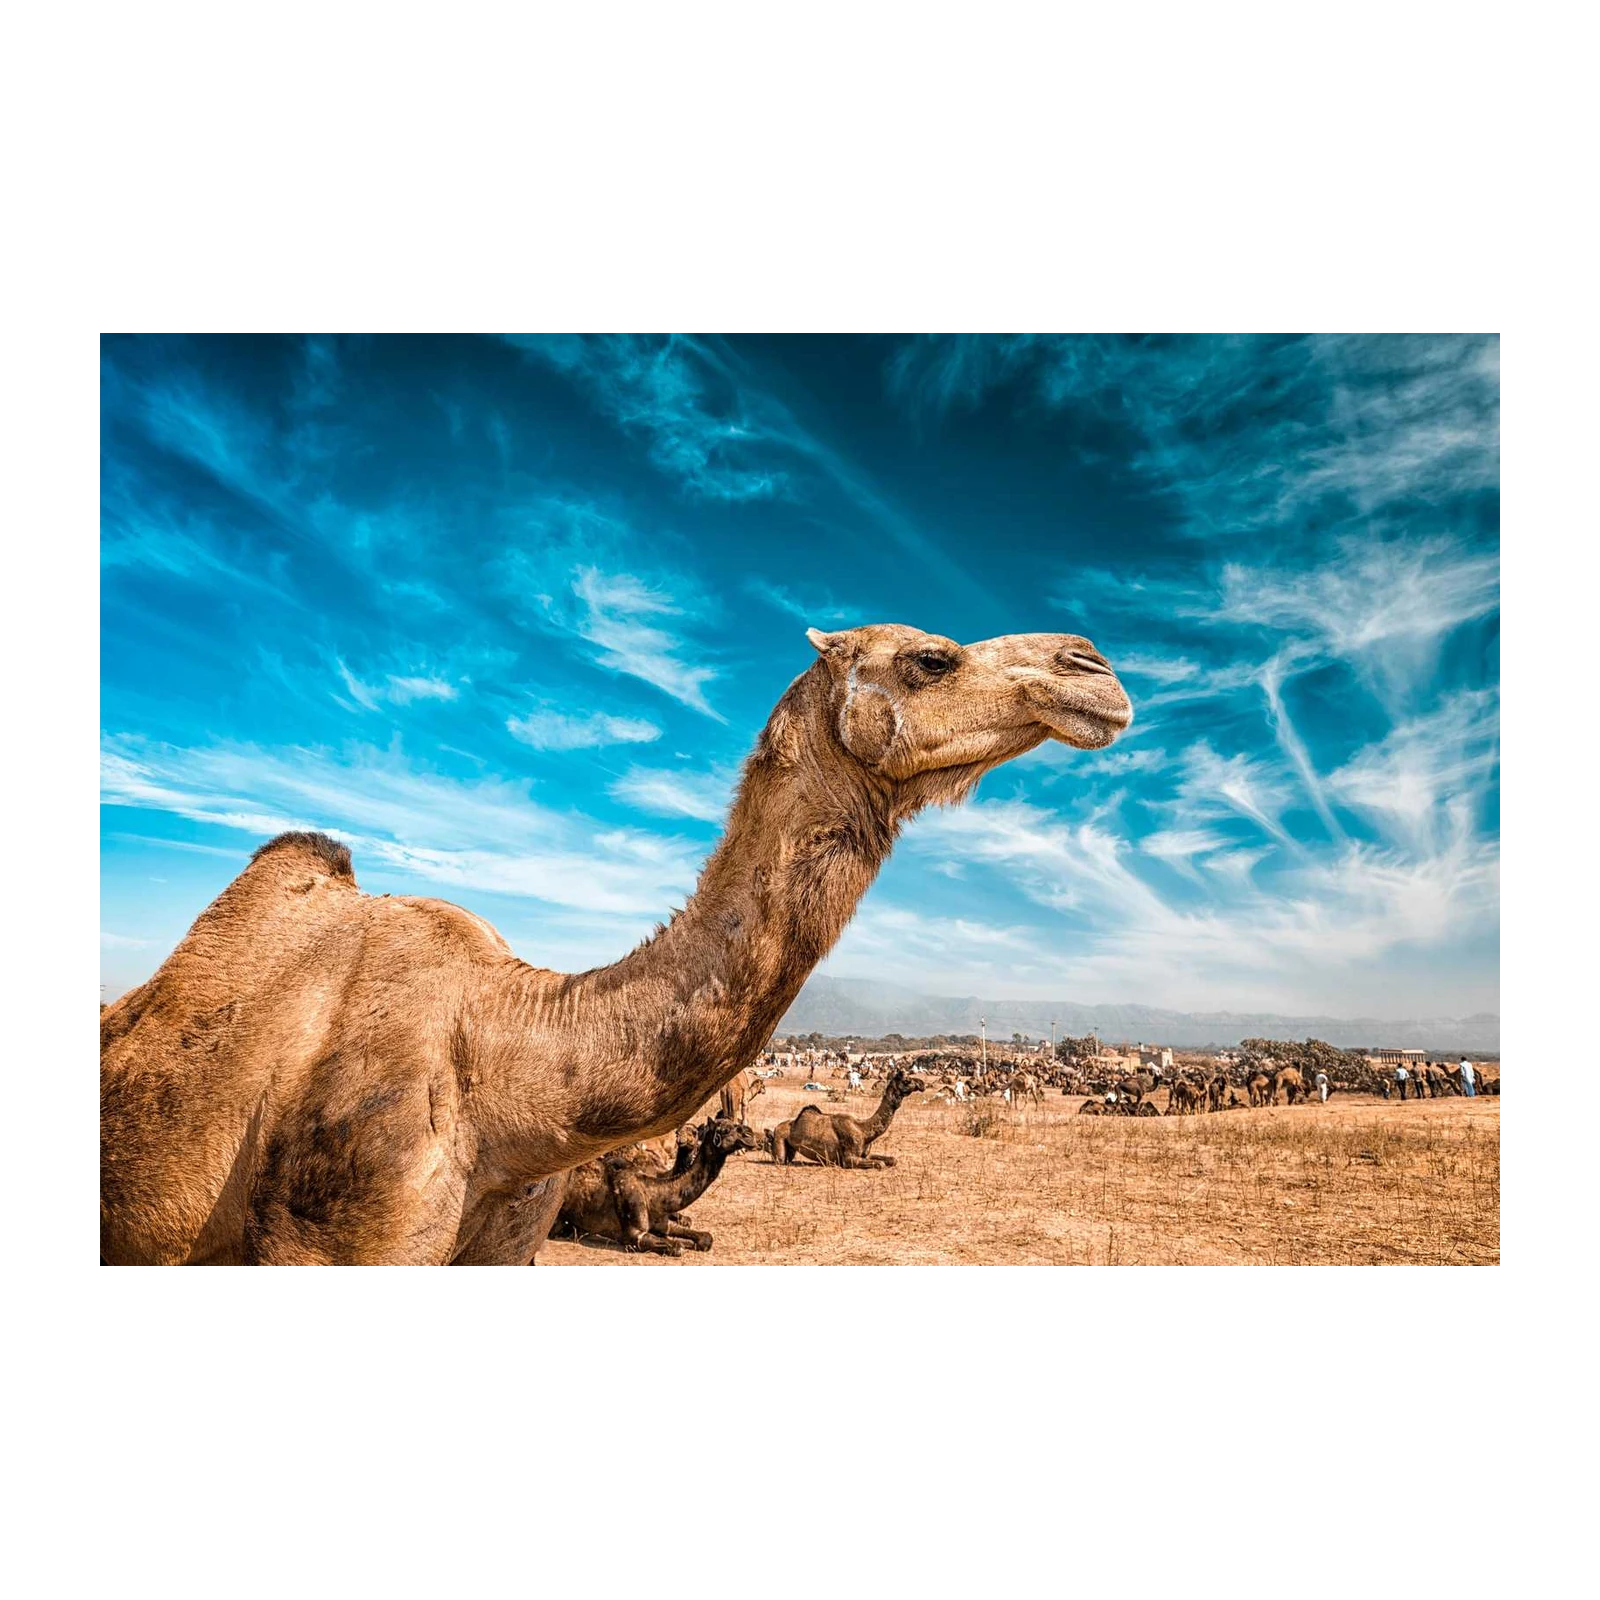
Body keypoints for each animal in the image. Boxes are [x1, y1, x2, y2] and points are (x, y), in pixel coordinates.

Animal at [555, 1115, 759, 1255]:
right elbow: (676, 1246)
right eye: (725, 1130)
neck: (654, 1193)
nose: (750, 1135)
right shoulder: (635, 1235)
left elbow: (704, 1238)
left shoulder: (663, 1223)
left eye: (694, 1133)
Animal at [769, 1068, 925, 1168]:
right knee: (781, 1159)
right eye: (907, 1080)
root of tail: (777, 1127)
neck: (864, 1130)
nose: (922, 1084)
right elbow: (880, 1164)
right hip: (780, 1139)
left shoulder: (865, 1155)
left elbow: (893, 1159)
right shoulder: (848, 1159)